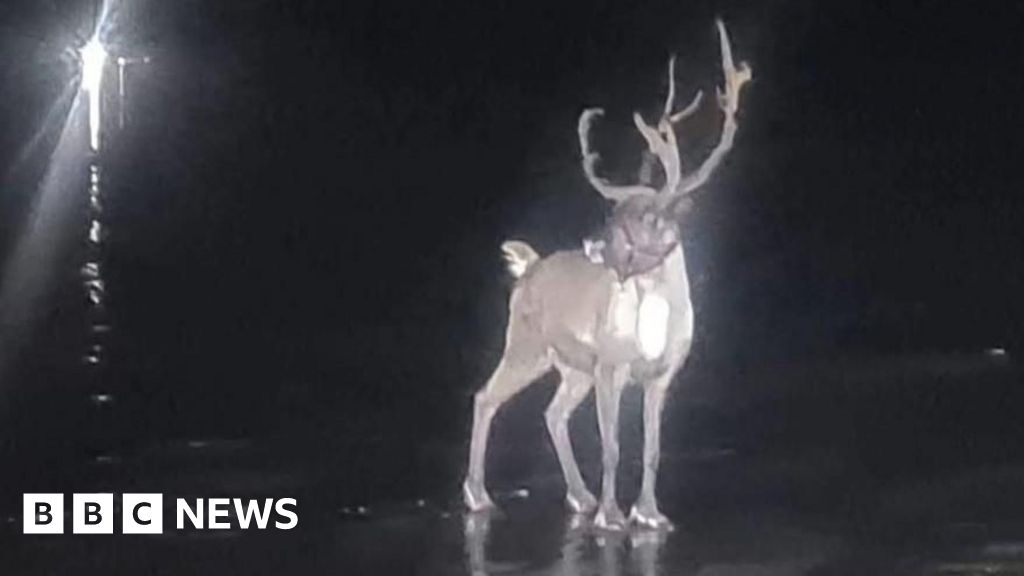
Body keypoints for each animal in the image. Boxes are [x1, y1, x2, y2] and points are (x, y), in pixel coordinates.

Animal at [463, 19, 751, 531]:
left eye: (647, 218)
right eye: (612, 213)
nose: (594, 245)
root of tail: (529, 266)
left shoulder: (661, 376)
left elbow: (653, 450)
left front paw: (650, 513)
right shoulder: (610, 367)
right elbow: (613, 446)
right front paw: (613, 515)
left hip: (571, 366)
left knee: (552, 413)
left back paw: (579, 496)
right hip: (527, 345)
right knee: (485, 397)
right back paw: (479, 495)